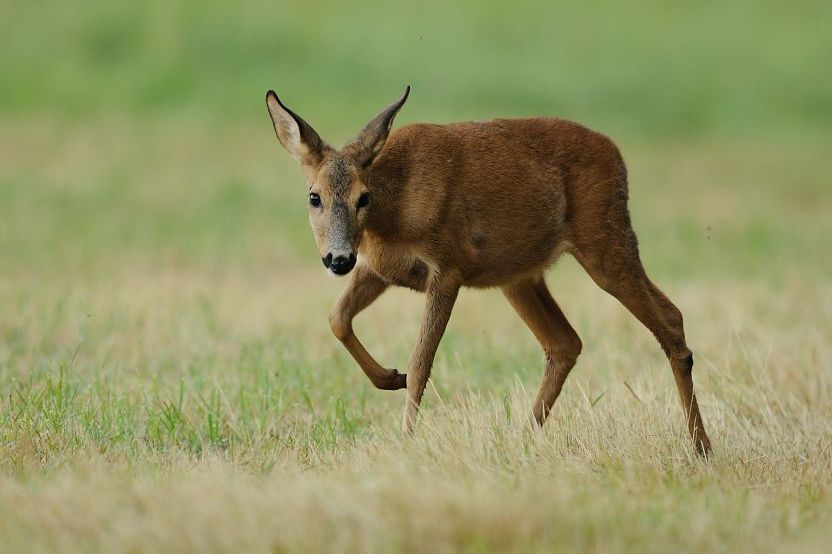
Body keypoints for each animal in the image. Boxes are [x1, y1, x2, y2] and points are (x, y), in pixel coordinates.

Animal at [264, 86, 712, 454]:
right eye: (314, 197)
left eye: (363, 197)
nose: (338, 259)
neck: (393, 211)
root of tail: (618, 157)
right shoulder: (379, 269)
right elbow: (337, 318)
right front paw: (390, 376)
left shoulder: (449, 264)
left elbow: (422, 361)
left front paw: (406, 438)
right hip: (521, 276)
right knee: (569, 341)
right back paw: (522, 439)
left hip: (604, 240)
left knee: (668, 321)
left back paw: (701, 446)